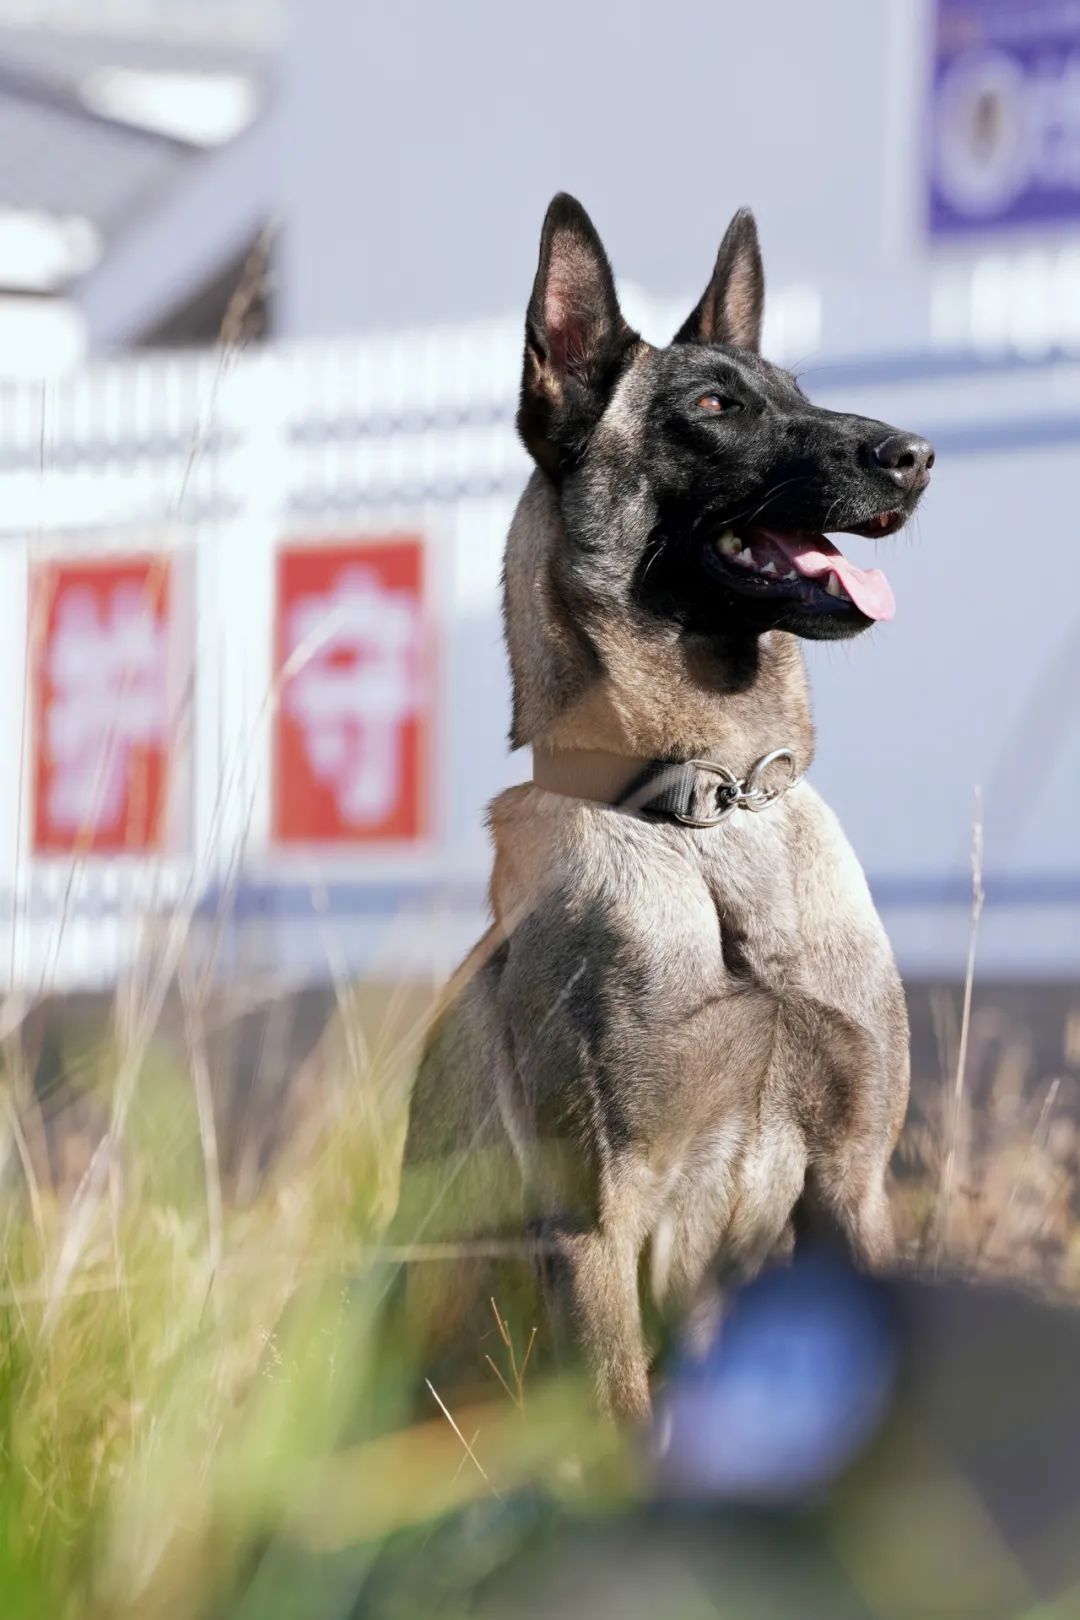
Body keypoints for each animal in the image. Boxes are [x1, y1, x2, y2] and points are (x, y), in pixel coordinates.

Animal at [393, 194, 933, 1421]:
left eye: (796, 390)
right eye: (713, 408)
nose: (918, 457)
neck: (710, 814)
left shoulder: (853, 1184)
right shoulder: (596, 1227)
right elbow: (619, 1421)